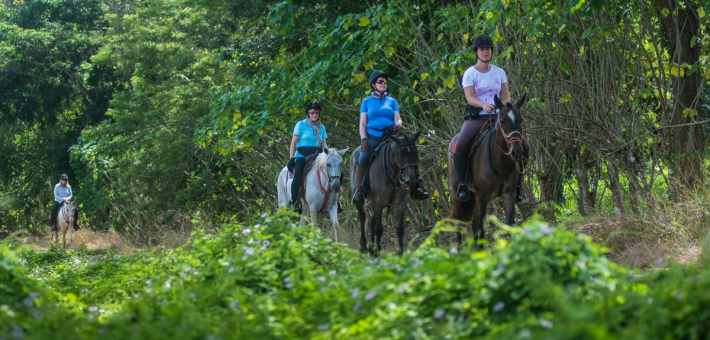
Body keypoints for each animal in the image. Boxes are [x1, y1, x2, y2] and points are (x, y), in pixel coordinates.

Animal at [450, 94, 528, 246]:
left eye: (521, 120)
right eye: (502, 121)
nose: (516, 152)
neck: (500, 161)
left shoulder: (509, 193)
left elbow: (510, 225)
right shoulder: (482, 195)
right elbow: (481, 227)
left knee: (473, 224)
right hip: (456, 193)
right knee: (459, 222)